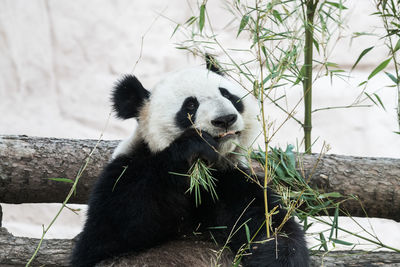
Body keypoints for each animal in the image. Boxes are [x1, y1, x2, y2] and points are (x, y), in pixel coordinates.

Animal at [71, 59, 310, 267]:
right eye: (190, 105)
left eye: (227, 94)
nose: (225, 119)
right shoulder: (125, 170)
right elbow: (117, 224)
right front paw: (194, 146)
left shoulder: (229, 181)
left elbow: (270, 225)